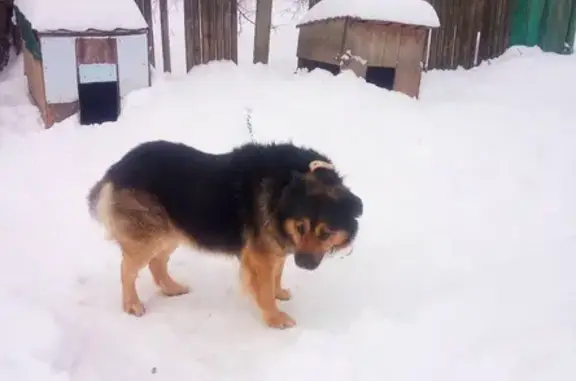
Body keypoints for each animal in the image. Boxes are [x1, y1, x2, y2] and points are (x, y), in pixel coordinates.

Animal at [87, 139, 362, 326]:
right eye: (300, 227)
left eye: (326, 233)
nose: (304, 263)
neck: (285, 190)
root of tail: (117, 168)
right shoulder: (261, 256)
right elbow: (264, 288)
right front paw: (275, 318)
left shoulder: (276, 249)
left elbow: (277, 274)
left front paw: (279, 293)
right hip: (148, 236)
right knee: (127, 271)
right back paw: (132, 304)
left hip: (171, 231)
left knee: (157, 263)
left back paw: (172, 288)